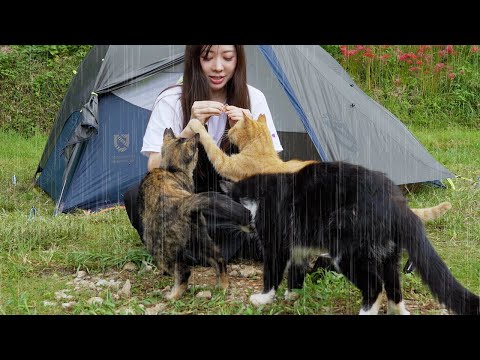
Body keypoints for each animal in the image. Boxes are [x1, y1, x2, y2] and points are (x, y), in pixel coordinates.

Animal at [138, 128, 253, 300]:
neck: (172, 168)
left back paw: (173, 295)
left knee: (183, 272)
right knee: (219, 259)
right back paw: (223, 286)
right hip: (201, 238)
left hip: (159, 245)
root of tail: (184, 203)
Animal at [188, 115, 450, 222]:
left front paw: (197, 126)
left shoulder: (228, 165)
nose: (228, 131)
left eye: (233, 127)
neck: (263, 151)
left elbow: (211, 148)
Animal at [222, 162, 480, 314]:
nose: (244, 228)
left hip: (347, 250)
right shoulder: (298, 246)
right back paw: (398, 311)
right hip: (389, 253)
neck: (257, 196)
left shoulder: (276, 242)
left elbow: (272, 272)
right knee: (393, 286)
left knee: (374, 286)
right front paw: (293, 294)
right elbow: (296, 270)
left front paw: (263, 299)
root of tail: (396, 204)